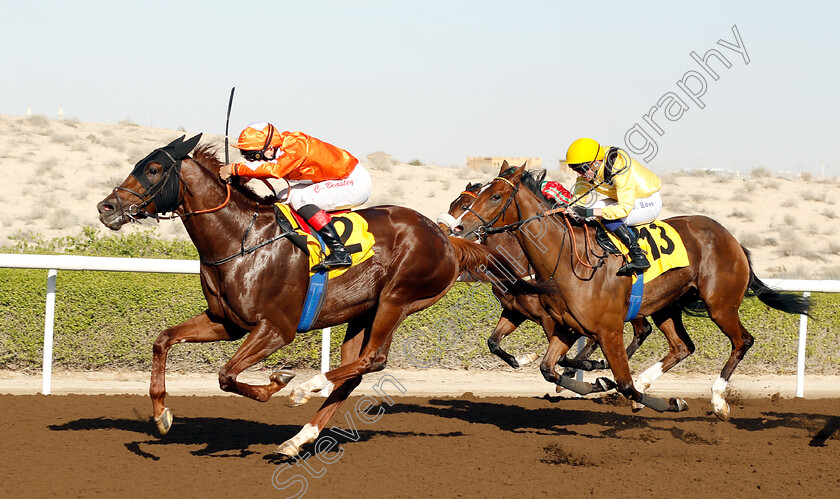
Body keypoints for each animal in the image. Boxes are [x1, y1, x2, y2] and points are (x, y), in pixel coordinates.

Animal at [97, 136, 520, 458]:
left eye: (153, 169)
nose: (107, 207)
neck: (241, 239)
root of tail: (445, 237)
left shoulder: (276, 328)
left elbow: (227, 375)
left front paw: (279, 381)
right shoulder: (227, 322)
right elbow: (163, 340)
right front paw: (161, 414)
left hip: (397, 300)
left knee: (374, 359)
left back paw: (305, 389)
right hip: (361, 312)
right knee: (354, 372)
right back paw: (297, 438)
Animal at [456, 163, 812, 418]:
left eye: (495, 197)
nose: (459, 227)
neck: (566, 260)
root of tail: (731, 238)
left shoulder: (607, 329)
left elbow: (621, 382)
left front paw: (667, 402)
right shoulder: (564, 326)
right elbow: (548, 368)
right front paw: (597, 380)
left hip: (720, 304)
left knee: (742, 341)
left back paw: (717, 401)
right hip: (666, 305)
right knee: (682, 347)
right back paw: (644, 381)